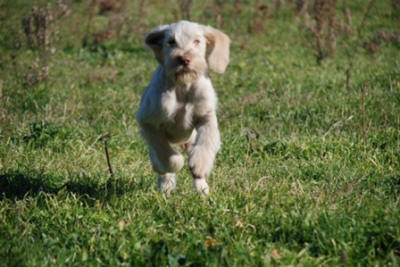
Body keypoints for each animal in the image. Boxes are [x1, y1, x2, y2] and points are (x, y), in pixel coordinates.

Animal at [138, 19, 231, 195]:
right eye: (171, 42)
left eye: (197, 41)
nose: (184, 59)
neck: (183, 86)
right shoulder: (148, 122)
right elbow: (165, 154)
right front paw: (175, 164)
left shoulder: (206, 116)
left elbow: (207, 141)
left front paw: (199, 166)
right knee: (159, 164)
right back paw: (166, 186)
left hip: (191, 140)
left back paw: (202, 190)